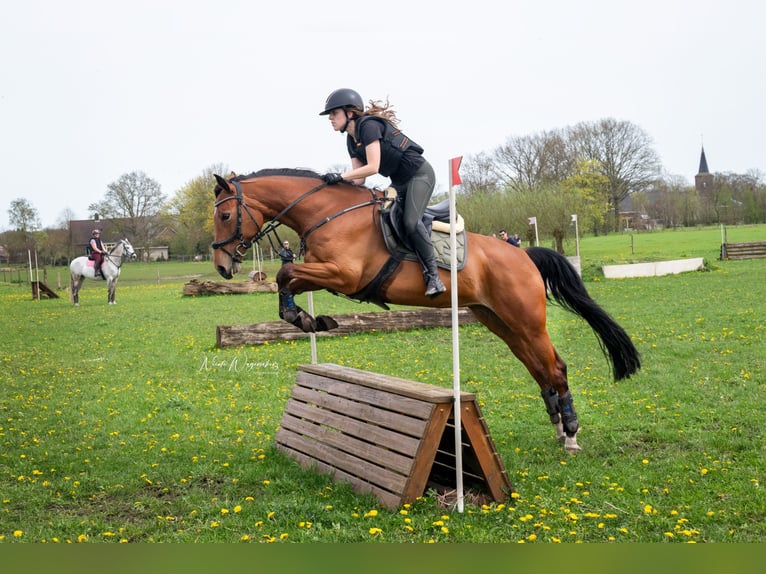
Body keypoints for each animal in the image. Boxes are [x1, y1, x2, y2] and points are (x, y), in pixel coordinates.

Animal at [212, 171, 640, 454]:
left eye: (225, 216)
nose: (221, 266)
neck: (330, 213)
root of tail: (523, 254)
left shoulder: (344, 275)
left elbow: (285, 273)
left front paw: (309, 319)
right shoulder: (322, 272)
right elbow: (286, 280)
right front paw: (309, 320)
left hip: (526, 321)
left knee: (556, 368)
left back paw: (571, 433)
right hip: (501, 322)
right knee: (539, 368)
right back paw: (558, 426)